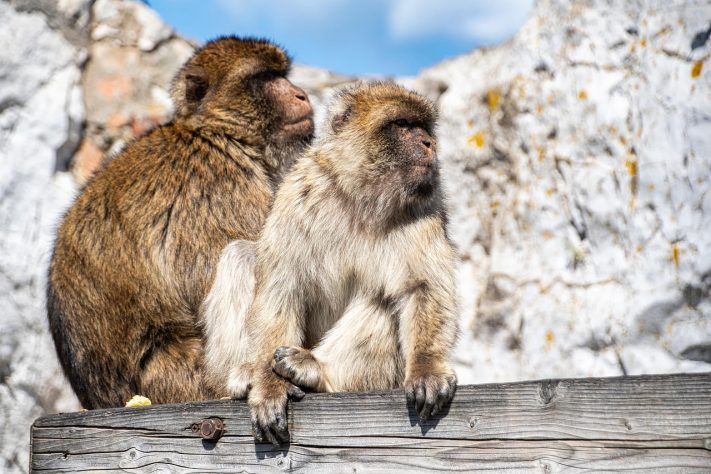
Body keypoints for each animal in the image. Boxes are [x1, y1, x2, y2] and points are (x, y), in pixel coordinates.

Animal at [47, 36, 314, 409]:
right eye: (265, 78)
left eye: (282, 74)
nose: (301, 94)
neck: (218, 134)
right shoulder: (217, 186)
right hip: (191, 379)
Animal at [203, 81, 459, 445]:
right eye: (402, 124)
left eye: (424, 127)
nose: (429, 143)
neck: (360, 195)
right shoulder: (298, 193)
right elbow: (282, 288)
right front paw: (269, 388)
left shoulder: (425, 204)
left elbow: (421, 287)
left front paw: (428, 368)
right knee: (241, 254)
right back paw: (246, 374)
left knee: (382, 297)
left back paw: (317, 371)